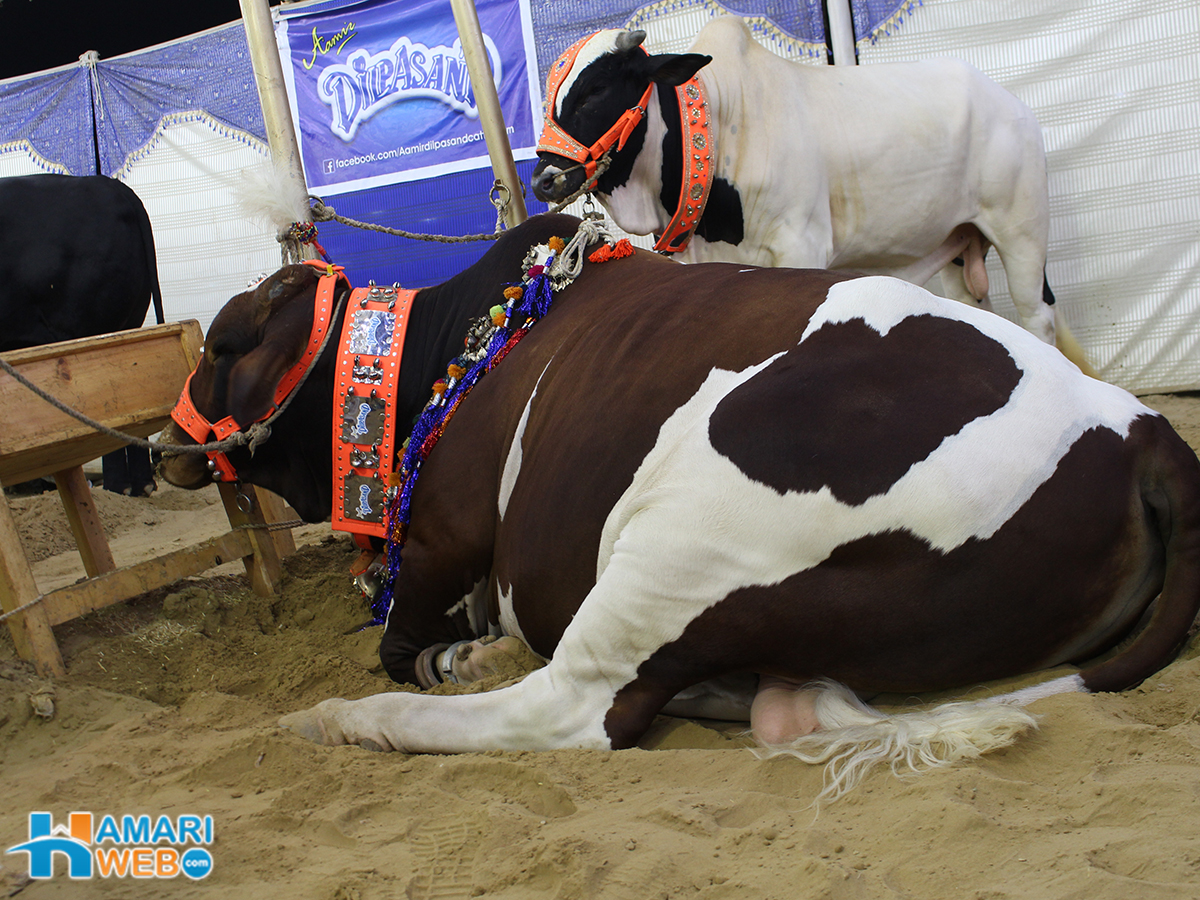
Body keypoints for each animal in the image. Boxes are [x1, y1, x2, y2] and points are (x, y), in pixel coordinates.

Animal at [159, 214, 1200, 799]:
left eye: (222, 344)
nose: (160, 445)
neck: (458, 351)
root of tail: (1142, 429)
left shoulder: (445, 538)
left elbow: (400, 636)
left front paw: (452, 655)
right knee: (800, 707)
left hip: (685, 536)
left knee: (569, 709)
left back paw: (346, 717)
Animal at [530, 19, 1088, 368]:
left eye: (595, 90)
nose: (542, 180)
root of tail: (1010, 102)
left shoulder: (802, 246)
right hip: (956, 245)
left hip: (1022, 237)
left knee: (1038, 319)